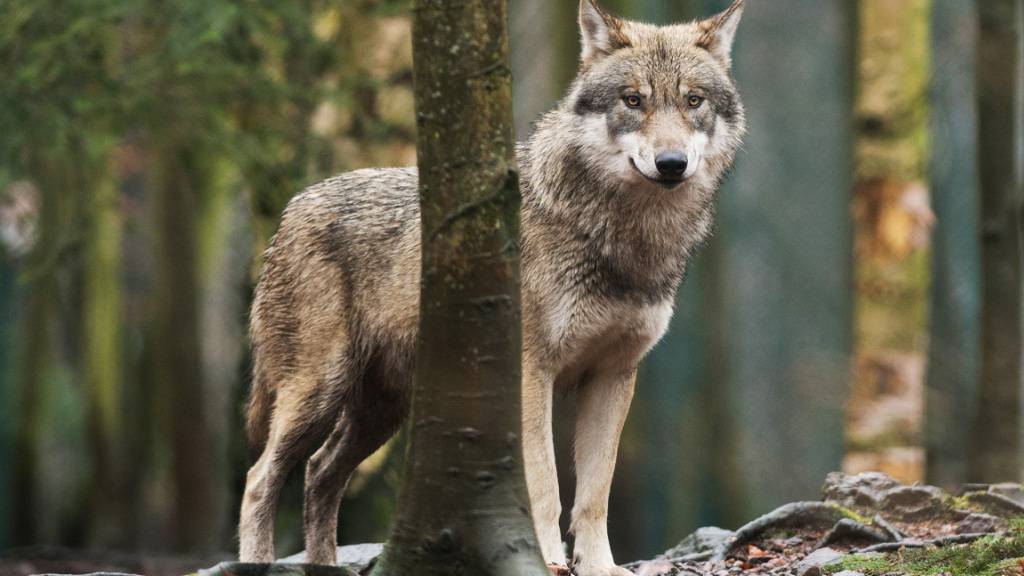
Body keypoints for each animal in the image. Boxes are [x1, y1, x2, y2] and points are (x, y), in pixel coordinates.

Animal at [243, 1, 749, 569]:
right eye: (633, 100)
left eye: (693, 101)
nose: (671, 163)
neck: (624, 239)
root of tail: (291, 209)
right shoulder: (532, 373)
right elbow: (546, 486)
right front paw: (547, 561)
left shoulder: (614, 375)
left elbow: (595, 494)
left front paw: (601, 567)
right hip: (318, 392)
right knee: (260, 478)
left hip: (381, 411)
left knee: (319, 473)